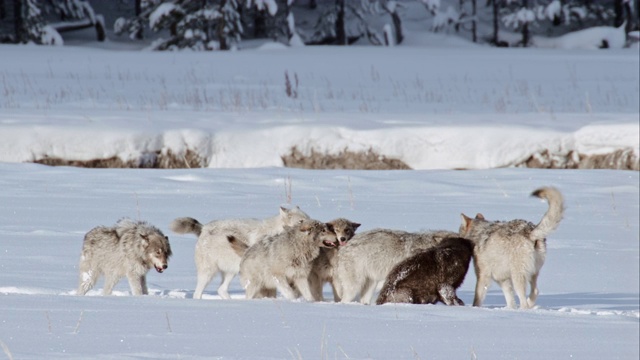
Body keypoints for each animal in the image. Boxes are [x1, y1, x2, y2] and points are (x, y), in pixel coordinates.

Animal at [170, 207, 310, 300]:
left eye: (308, 218)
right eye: (300, 221)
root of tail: (204, 228)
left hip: (231, 272)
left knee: (221, 290)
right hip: (209, 273)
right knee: (197, 293)